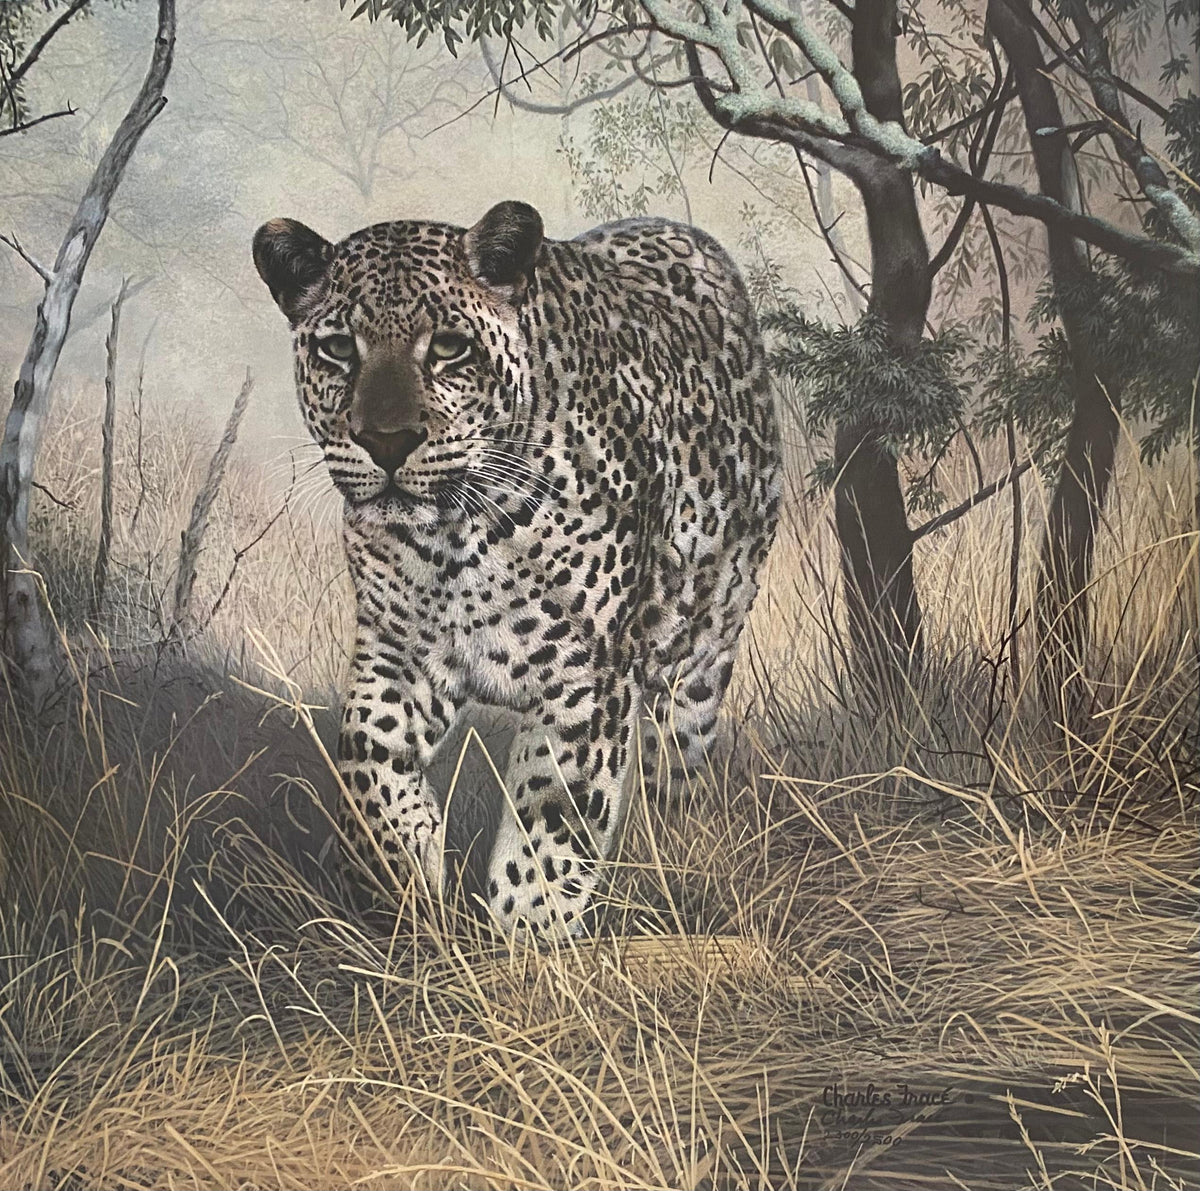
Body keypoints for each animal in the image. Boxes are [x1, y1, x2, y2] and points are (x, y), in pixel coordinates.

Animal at [253, 199, 781, 941]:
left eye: (448, 347)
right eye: (338, 349)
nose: (386, 441)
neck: (452, 537)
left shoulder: (585, 682)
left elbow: (549, 829)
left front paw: (528, 946)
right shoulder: (393, 653)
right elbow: (367, 764)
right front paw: (400, 890)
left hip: (704, 643)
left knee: (678, 759)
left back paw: (675, 857)